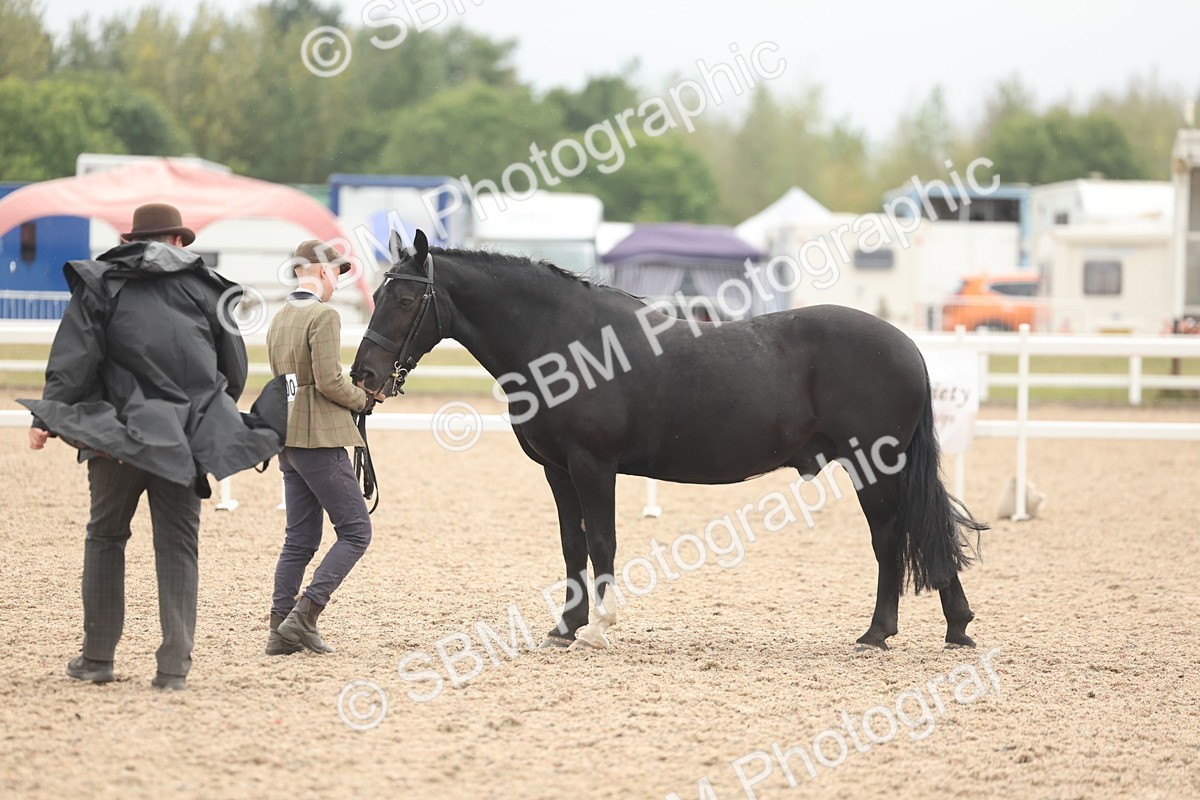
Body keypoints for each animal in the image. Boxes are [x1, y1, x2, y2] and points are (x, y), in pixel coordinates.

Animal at [351, 229, 985, 652]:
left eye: (404, 299)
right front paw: (566, 626)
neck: (563, 341)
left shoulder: (592, 465)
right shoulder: (558, 470)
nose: (363, 375)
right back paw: (951, 625)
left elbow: (602, 542)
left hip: (874, 465)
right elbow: (572, 545)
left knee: (892, 537)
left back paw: (880, 633)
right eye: (376, 296)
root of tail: (907, 345)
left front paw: (600, 629)